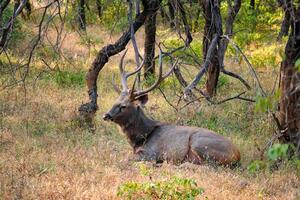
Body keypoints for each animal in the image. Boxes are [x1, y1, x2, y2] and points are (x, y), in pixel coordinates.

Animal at [103, 50, 241, 166]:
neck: (141, 138)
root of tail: (238, 155)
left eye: (123, 106)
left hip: (200, 144)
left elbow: (124, 159)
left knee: (209, 165)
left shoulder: (152, 153)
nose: (106, 115)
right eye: (115, 101)